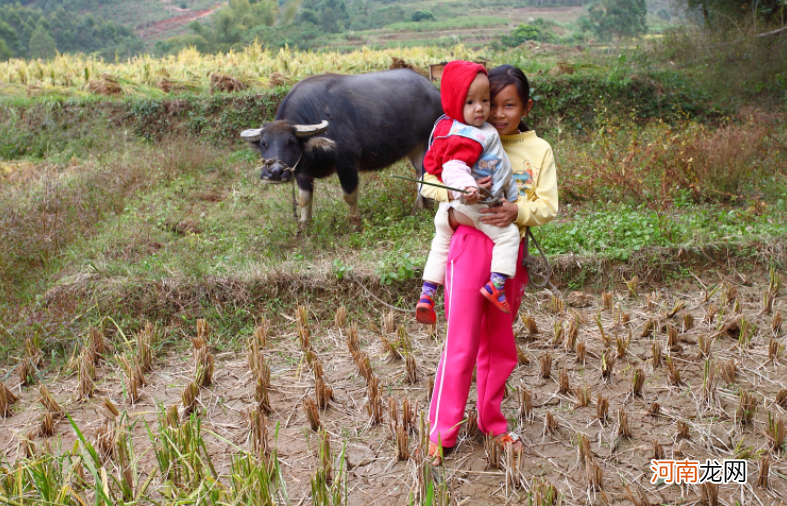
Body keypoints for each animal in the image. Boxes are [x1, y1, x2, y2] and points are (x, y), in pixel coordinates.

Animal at [240, 68, 444, 229]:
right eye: (264, 144)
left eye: (291, 142)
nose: (274, 172)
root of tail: (432, 90)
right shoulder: (302, 172)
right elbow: (304, 200)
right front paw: (304, 227)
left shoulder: (347, 164)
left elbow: (349, 196)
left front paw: (356, 224)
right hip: (414, 148)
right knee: (420, 175)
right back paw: (422, 208)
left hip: (427, 142)